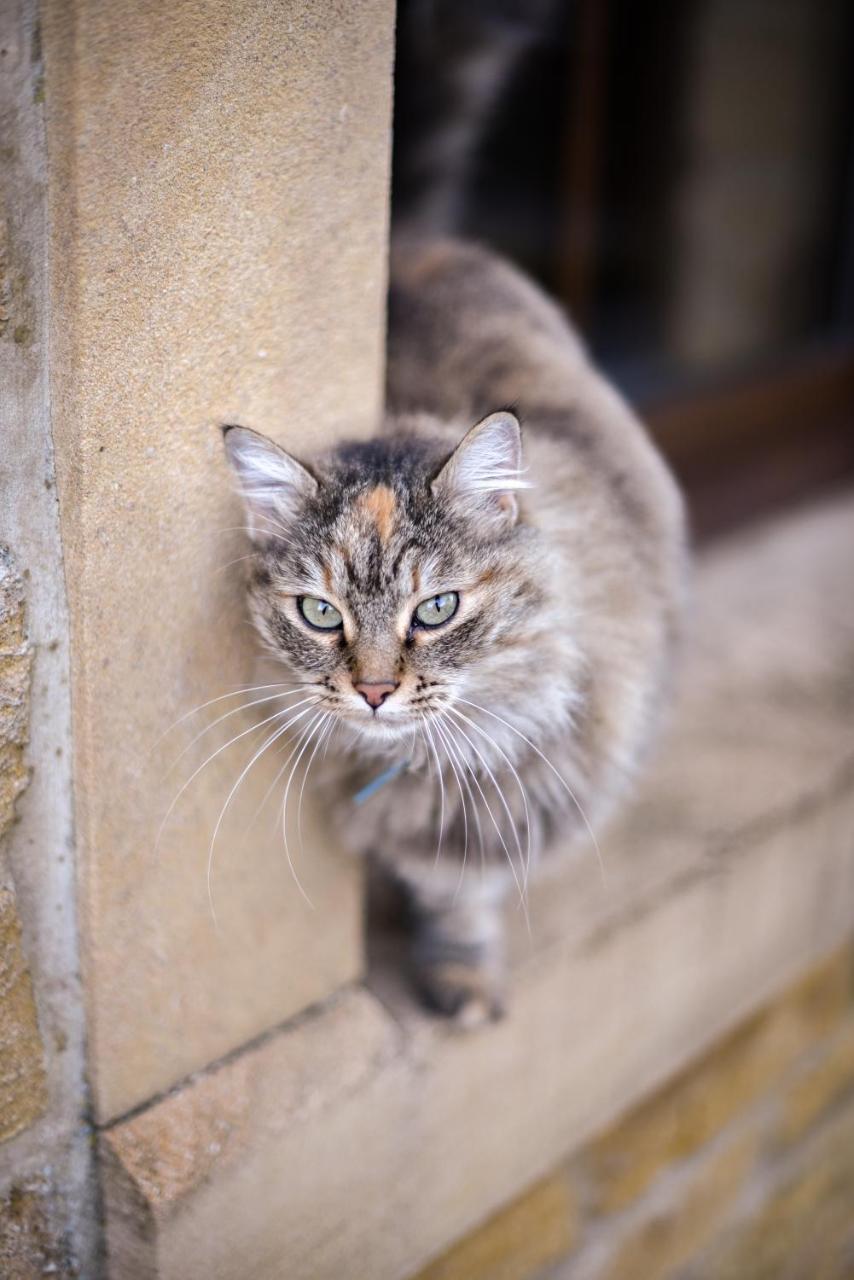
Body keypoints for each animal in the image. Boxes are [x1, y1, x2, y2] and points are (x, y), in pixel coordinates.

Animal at [222, 238, 686, 1018]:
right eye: (321, 613)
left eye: (437, 609)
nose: (374, 692)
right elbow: (449, 892)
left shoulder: (490, 823)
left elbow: (462, 892)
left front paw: (460, 979)